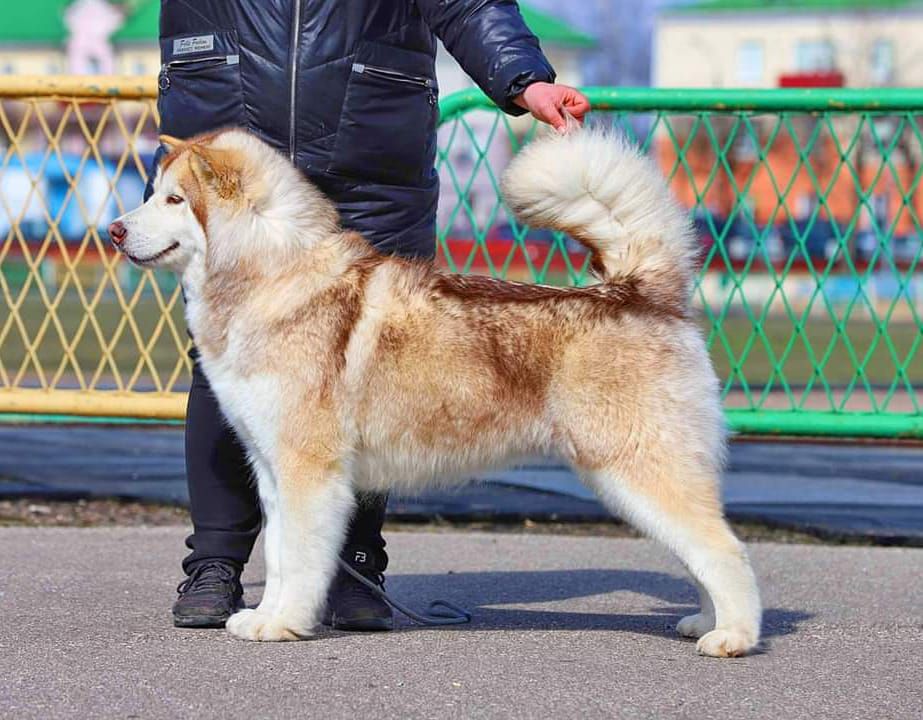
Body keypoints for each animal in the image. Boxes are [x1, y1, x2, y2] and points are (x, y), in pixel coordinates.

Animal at [112, 126, 764, 656]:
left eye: (173, 200)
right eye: (152, 192)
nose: (114, 230)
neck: (273, 277)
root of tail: (639, 291)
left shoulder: (309, 474)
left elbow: (298, 560)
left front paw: (284, 624)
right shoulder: (274, 472)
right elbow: (276, 555)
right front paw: (264, 616)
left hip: (639, 468)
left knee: (724, 550)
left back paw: (732, 636)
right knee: (703, 552)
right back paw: (704, 621)